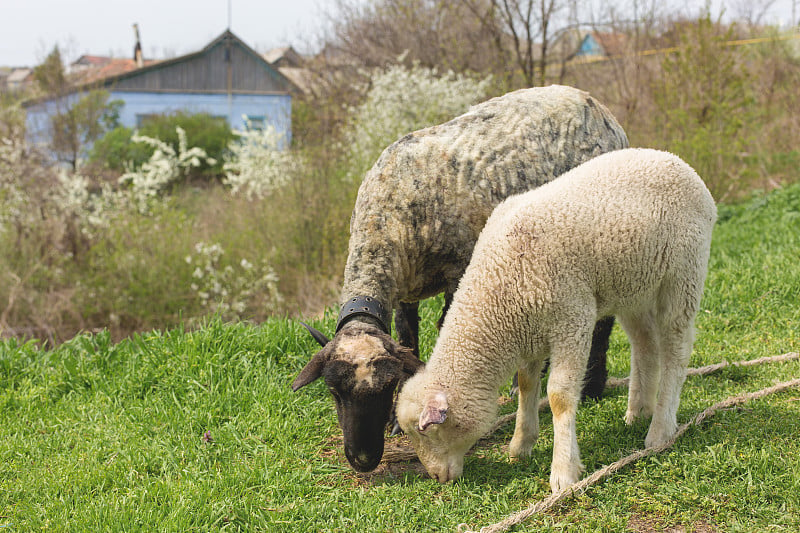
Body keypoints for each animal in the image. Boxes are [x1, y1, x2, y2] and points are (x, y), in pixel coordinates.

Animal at [290, 85, 628, 472]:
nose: (363, 459)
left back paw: (592, 386)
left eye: (386, 388)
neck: (384, 221)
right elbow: (408, 338)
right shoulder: (405, 288)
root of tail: (596, 105)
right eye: (333, 391)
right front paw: (395, 421)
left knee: (604, 320)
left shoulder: (458, 270)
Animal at [396, 147, 716, 490]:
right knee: (645, 345)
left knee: (676, 349)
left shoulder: (572, 317)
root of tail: (675, 161)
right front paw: (521, 445)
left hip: (683, 274)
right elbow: (526, 385)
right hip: (635, 287)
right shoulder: (528, 328)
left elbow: (560, 396)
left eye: (427, 432)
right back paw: (638, 411)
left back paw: (660, 429)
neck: (498, 292)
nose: (437, 477)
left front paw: (563, 471)